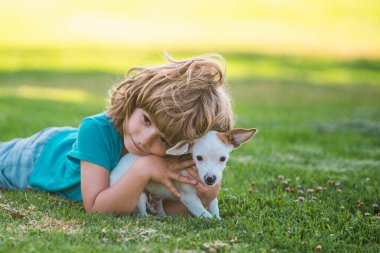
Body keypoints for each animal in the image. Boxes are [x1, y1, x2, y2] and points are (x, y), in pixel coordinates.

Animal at [110, 127, 258, 218]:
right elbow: (206, 215)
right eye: (199, 158)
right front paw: (214, 221)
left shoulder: (211, 196)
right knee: (141, 211)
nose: (210, 178)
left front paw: (218, 218)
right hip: (138, 195)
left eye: (222, 159)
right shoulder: (189, 198)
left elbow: (214, 208)